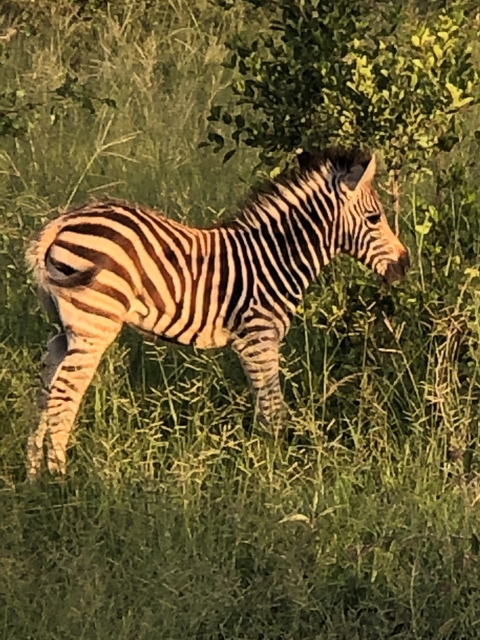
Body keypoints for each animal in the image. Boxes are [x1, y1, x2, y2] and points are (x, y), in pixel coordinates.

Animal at [25, 148, 409, 478]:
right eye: (374, 218)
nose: (404, 266)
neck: (277, 257)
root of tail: (60, 223)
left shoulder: (255, 343)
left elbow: (265, 407)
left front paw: (264, 462)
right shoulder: (258, 337)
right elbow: (273, 409)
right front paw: (275, 471)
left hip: (63, 329)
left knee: (44, 389)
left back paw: (33, 474)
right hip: (94, 324)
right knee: (63, 395)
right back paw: (60, 476)